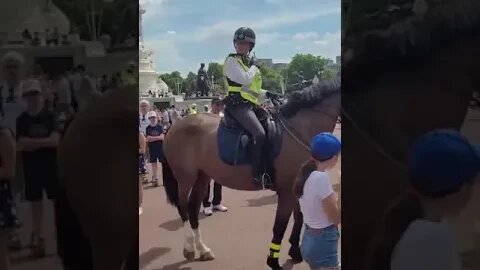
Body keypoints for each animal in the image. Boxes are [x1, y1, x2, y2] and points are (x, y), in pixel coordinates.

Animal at [162, 77, 342, 268]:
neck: (299, 128)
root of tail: (174, 126)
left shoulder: (299, 187)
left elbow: (300, 218)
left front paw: (295, 251)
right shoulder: (286, 191)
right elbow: (280, 226)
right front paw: (273, 261)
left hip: (202, 176)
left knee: (193, 207)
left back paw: (203, 249)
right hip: (185, 178)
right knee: (183, 207)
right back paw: (189, 248)